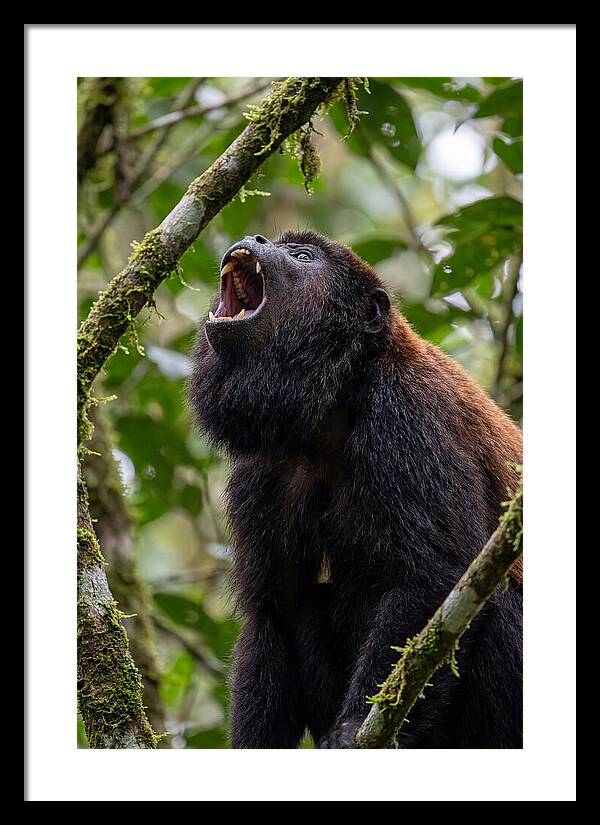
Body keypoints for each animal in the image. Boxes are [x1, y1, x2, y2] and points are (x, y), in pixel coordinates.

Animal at [188, 230, 523, 749]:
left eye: (302, 257)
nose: (256, 237)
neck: (338, 399)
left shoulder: (406, 414)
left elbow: (436, 576)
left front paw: (349, 730)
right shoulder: (265, 465)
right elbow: (273, 611)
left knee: (499, 597)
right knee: (307, 607)